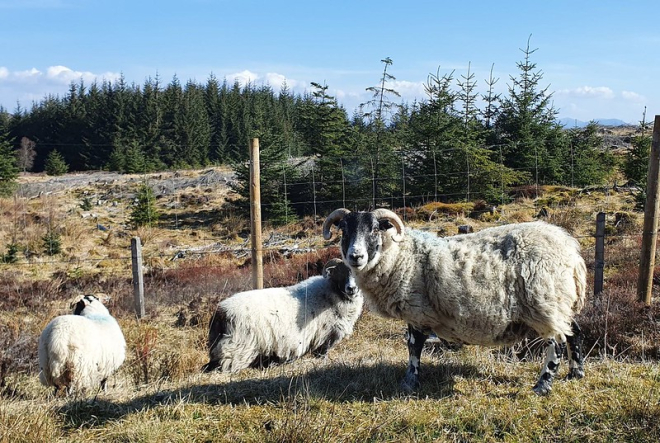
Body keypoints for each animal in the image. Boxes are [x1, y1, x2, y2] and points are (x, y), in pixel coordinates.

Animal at [202, 258, 364, 372]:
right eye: (340, 273)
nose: (351, 288)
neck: (332, 293)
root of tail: (221, 312)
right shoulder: (324, 337)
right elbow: (321, 354)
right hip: (238, 347)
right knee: (224, 365)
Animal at [322, 208, 584, 396]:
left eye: (376, 229)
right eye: (344, 229)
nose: (355, 256)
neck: (402, 256)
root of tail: (571, 251)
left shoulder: (417, 311)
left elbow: (413, 346)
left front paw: (410, 381)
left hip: (545, 301)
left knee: (558, 342)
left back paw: (543, 386)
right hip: (561, 303)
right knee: (574, 332)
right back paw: (576, 373)